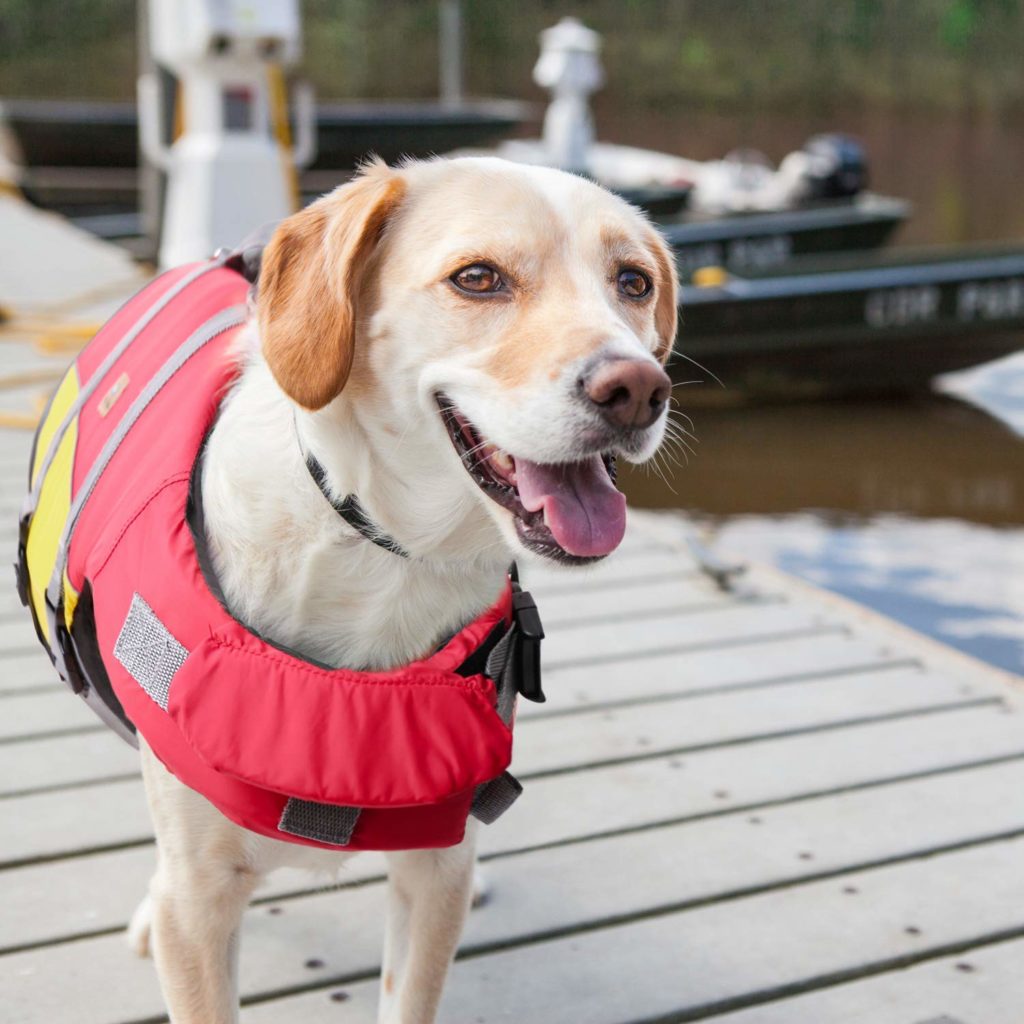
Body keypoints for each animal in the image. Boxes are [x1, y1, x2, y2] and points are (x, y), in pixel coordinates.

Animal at [123, 153, 675, 1024]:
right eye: (478, 278)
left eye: (633, 281)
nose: (638, 389)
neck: (385, 554)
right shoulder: (201, 904)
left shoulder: (428, 884)